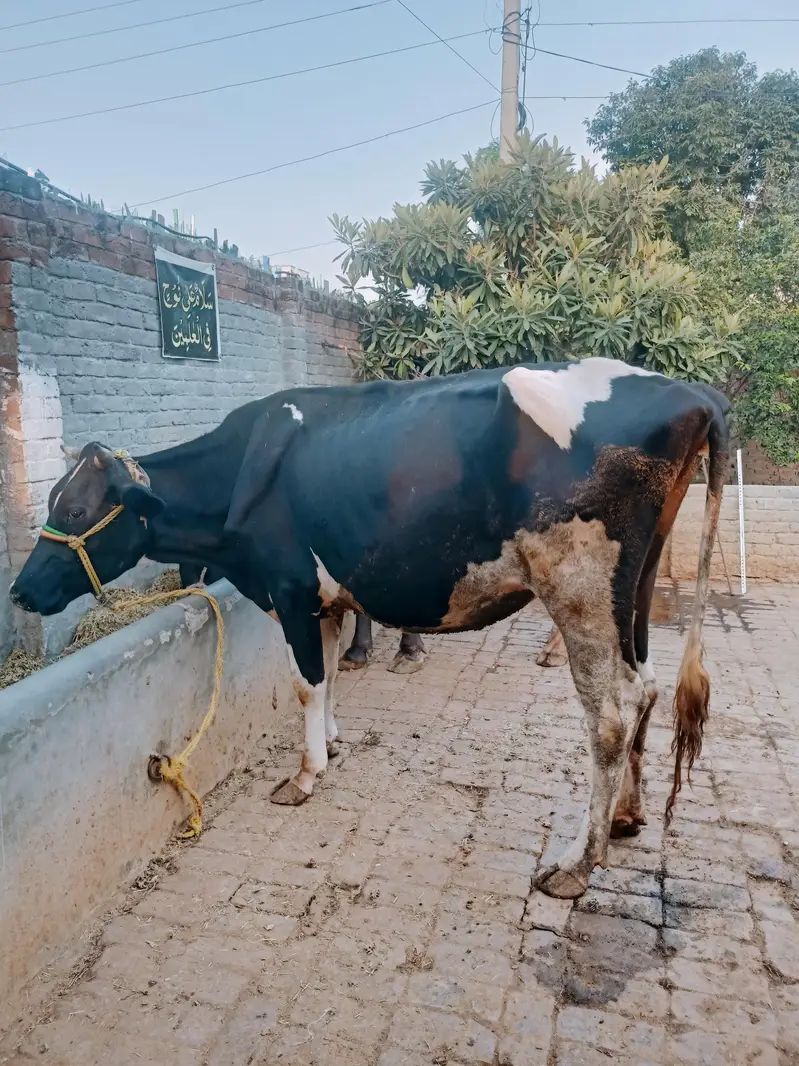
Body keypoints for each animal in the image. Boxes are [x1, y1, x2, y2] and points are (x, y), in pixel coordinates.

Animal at [9, 358, 729, 898]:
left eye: (75, 511)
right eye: (54, 502)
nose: (19, 590)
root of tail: (694, 393)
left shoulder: (290, 588)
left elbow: (305, 683)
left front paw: (303, 777)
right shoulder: (323, 600)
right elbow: (327, 678)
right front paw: (332, 744)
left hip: (578, 585)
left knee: (609, 715)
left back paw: (578, 865)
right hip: (632, 589)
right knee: (647, 685)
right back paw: (627, 816)